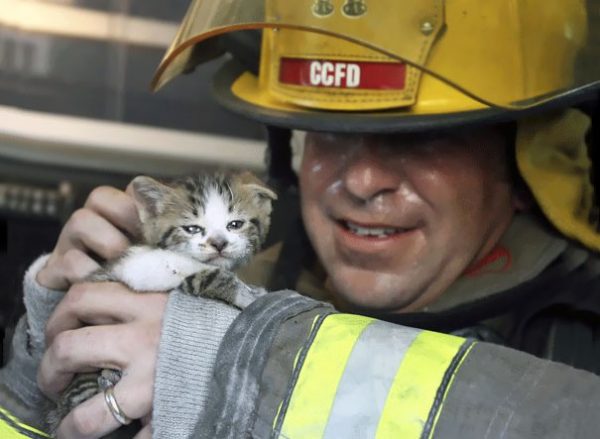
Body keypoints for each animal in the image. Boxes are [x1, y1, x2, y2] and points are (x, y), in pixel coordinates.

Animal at [46, 170, 276, 434]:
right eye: (192, 228)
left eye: (235, 224)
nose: (219, 243)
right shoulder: (146, 267)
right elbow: (209, 274)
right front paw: (248, 297)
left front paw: (253, 289)